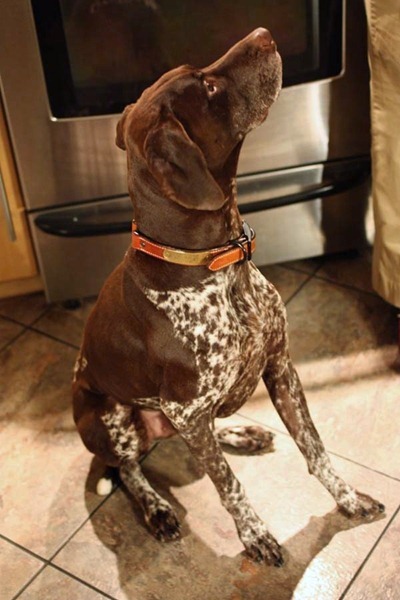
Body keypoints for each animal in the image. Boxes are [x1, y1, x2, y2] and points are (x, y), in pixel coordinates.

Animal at [72, 27, 384, 565]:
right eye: (209, 88)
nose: (265, 34)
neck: (217, 269)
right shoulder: (185, 406)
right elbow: (229, 485)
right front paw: (254, 534)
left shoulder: (280, 366)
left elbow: (315, 449)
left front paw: (347, 499)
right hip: (113, 416)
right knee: (129, 470)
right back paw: (156, 509)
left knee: (202, 439)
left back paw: (241, 433)